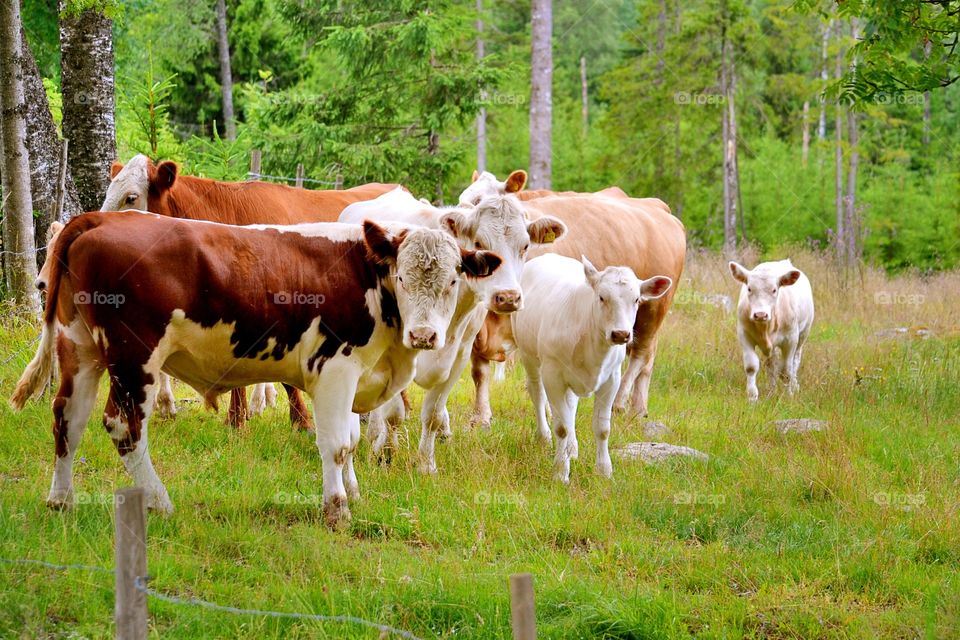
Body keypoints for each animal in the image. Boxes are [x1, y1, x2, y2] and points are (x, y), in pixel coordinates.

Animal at [10, 211, 501, 528]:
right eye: (401, 277)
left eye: (453, 279)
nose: (424, 336)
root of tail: (98, 218)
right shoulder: (335, 369)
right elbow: (336, 444)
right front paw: (337, 509)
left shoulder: (356, 376)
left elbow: (353, 439)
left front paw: (354, 493)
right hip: (134, 357)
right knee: (123, 426)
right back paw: (159, 502)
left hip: (80, 348)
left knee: (68, 419)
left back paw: (61, 501)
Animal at [339, 182, 567, 473]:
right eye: (479, 243)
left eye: (525, 246)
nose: (507, 297)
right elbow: (393, 413)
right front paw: (384, 452)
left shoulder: (459, 355)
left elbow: (433, 414)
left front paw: (426, 464)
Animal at [467, 187, 686, 429]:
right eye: (478, 243)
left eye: (525, 246)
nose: (506, 297)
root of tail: (657, 206)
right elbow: (479, 372)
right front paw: (481, 417)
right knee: (647, 360)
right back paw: (638, 409)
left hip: (652, 312)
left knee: (641, 355)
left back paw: (620, 403)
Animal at [513, 254, 672, 482]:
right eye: (602, 297)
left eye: (636, 300)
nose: (621, 334)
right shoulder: (553, 374)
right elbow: (561, 427)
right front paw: (560, 473)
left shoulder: (612, 379)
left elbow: (602, 428)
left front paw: (604, 471)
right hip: (529, 355)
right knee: (537, 392)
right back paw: (544, 437)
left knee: (570, 406)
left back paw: (572, 448)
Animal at [728, 260, 814, 401]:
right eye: (749, 288)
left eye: (774, 290)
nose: (760, 314)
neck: (765, 328)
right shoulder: (744, 335)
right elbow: (751, 367)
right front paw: (752, 396)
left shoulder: (790, 340)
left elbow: (786, 371)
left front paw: (788, 395)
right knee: (771, 365)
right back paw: (772, 390)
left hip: (803, 334)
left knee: (795, 362)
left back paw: (794, 385)